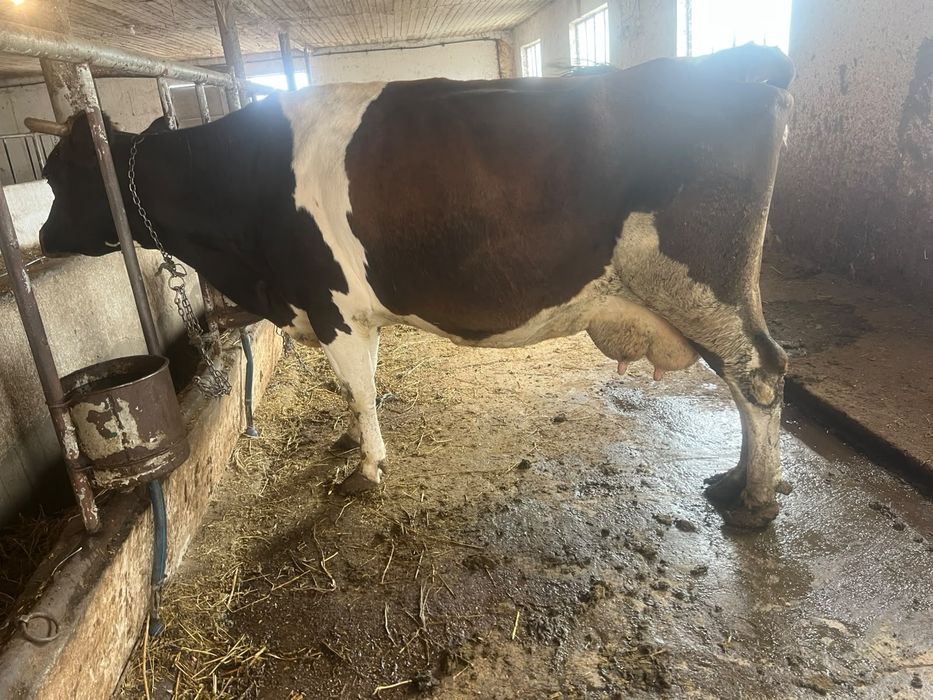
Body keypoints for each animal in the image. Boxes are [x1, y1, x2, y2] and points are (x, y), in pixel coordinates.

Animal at [37, 44, 794, 528]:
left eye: (55, 175)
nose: (42, 239)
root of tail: (740, 60)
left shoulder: (333, 304)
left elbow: (360, 387)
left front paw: (367, 468)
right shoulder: (331, 308)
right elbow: (352, 388)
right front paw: (348, 442)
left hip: (702, 285)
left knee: (759, 372)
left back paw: (753, 501)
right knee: (750, 377)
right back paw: (736, 482)